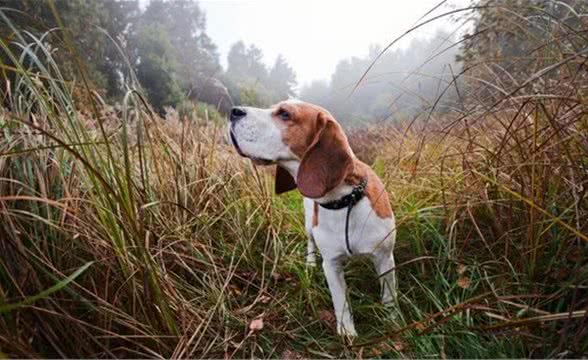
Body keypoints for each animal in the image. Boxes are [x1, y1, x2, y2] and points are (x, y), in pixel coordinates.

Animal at [227, 99, 398, 338]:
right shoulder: (331, 264)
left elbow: (389, 295)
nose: (233, 111)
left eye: (285, 114)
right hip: (309, 224)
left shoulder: (385, 257)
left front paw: (392, 321)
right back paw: (309, 263)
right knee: (310, 242)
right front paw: (347, 333)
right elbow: (340, 300)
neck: (344, 201)